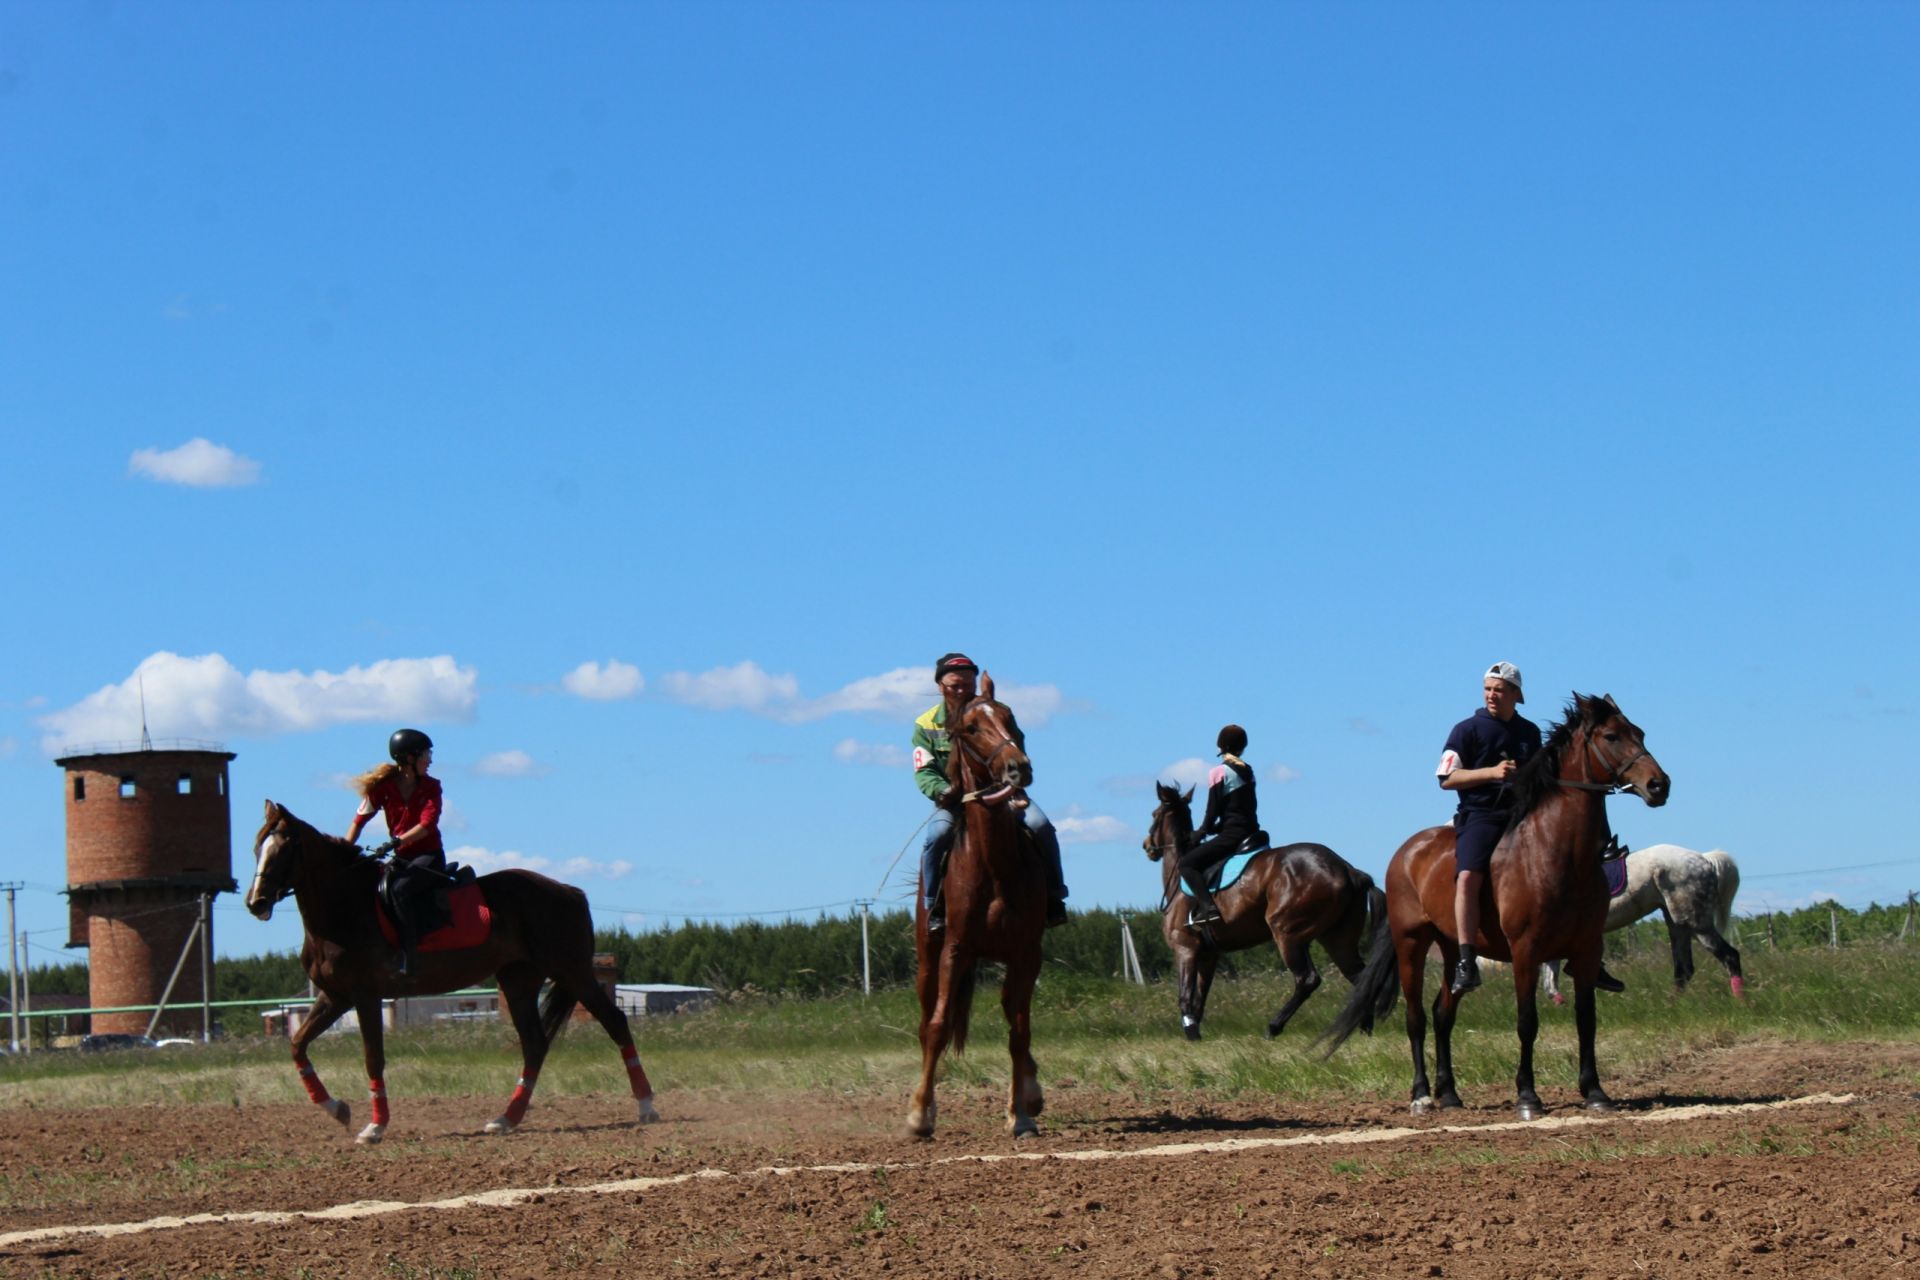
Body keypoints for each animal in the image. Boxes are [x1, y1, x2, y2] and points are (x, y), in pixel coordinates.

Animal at [247, 802, 656, 1143]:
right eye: (256, 849)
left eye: (282, 849)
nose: (256, 902)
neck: (343, 907)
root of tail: (570, 891)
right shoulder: (335, 996)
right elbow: (297, 1044)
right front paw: (337, 1109)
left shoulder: (365, 996)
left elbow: (372, 1057)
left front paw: (375, 1126)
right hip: (518, 981)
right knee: (535, 1044)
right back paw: (507, 1118)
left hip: (571, 971)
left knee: (615, 1022)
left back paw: (646, 1106)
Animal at [902, 671, 1044, 1143]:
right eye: (970, 728)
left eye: (1010, 717)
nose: (1019, 767)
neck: (993, 867)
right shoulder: (955, 950)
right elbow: (937, 1027)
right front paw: (920, 1115)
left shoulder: (1026, 954)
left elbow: (1019, 1032)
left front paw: (1021, 1114)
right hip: (928, 960)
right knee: (927, 1020)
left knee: (1014, 1015)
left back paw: (1028, 1096)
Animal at [1136, 782, 1397, 1043]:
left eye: (1154, 814)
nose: (1147, 846)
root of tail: (1348, 869)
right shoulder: (1209, 956)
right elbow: (1200, 999)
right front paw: (1197, 1035)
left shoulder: (1185, 948)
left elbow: (1185, 997)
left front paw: (1191, 1033)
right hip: (1337, 939)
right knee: (1362, 978)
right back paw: (1363, 1028)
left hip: (1287, 933)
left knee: (1307, 980)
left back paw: (1273, 1027)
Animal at [1328, 702, 1674, 1120]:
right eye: (1611, 736)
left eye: (1639, 733)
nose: (1659, 785)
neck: (1557, 852)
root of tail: (1406, 852)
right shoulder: (1526, 951)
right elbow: (1527, 1022)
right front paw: (1527, 1097)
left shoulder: (1587, 949)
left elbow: (1586, 1019)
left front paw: (1595, 1092)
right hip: (1411, 944)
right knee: (1416, 1018)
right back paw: (1422, 1097)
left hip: (1452, 949)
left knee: (1443, 1014)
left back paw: (1450, 1095)